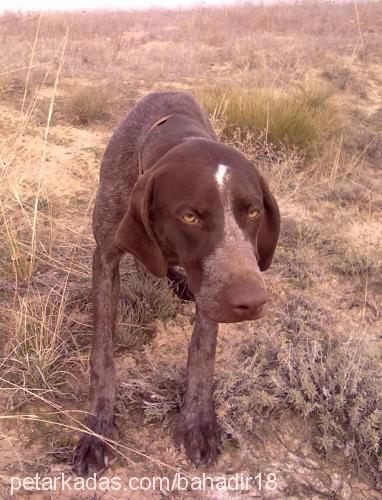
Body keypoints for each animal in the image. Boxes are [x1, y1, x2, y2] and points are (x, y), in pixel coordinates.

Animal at [71, 91, 280, 476]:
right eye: (190, 216)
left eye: (254, 211)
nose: (251, 302)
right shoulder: (105, 256)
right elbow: (102, 354)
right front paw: (99, 428)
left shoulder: (212, 287)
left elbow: (202, 351)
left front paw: (196, 420)